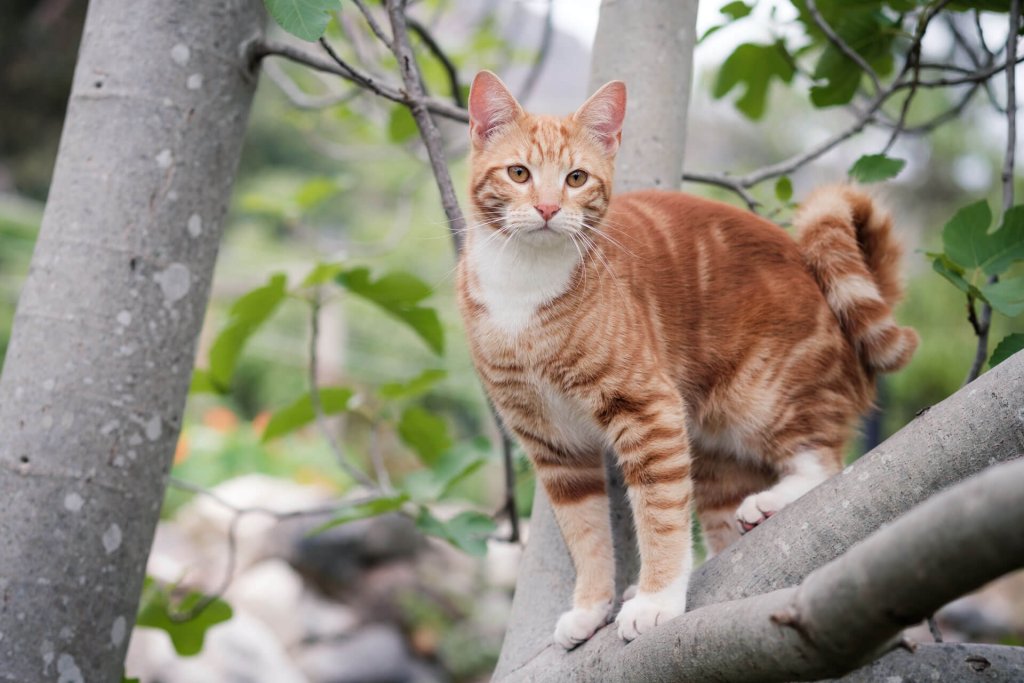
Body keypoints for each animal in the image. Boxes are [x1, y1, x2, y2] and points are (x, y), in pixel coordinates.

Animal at [458, 72, 921, 651]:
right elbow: (586, 535)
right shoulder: (554, 447)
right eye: (519, 173)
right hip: (714, 455)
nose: (546, 209)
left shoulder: (647, 409)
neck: (525, 286)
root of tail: (815, 270)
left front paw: (657, 600)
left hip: (764, 398)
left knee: (824, 461)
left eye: (576, 178)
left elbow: (660, 517)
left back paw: (773, 502)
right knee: (722, 525)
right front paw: (591, 607)